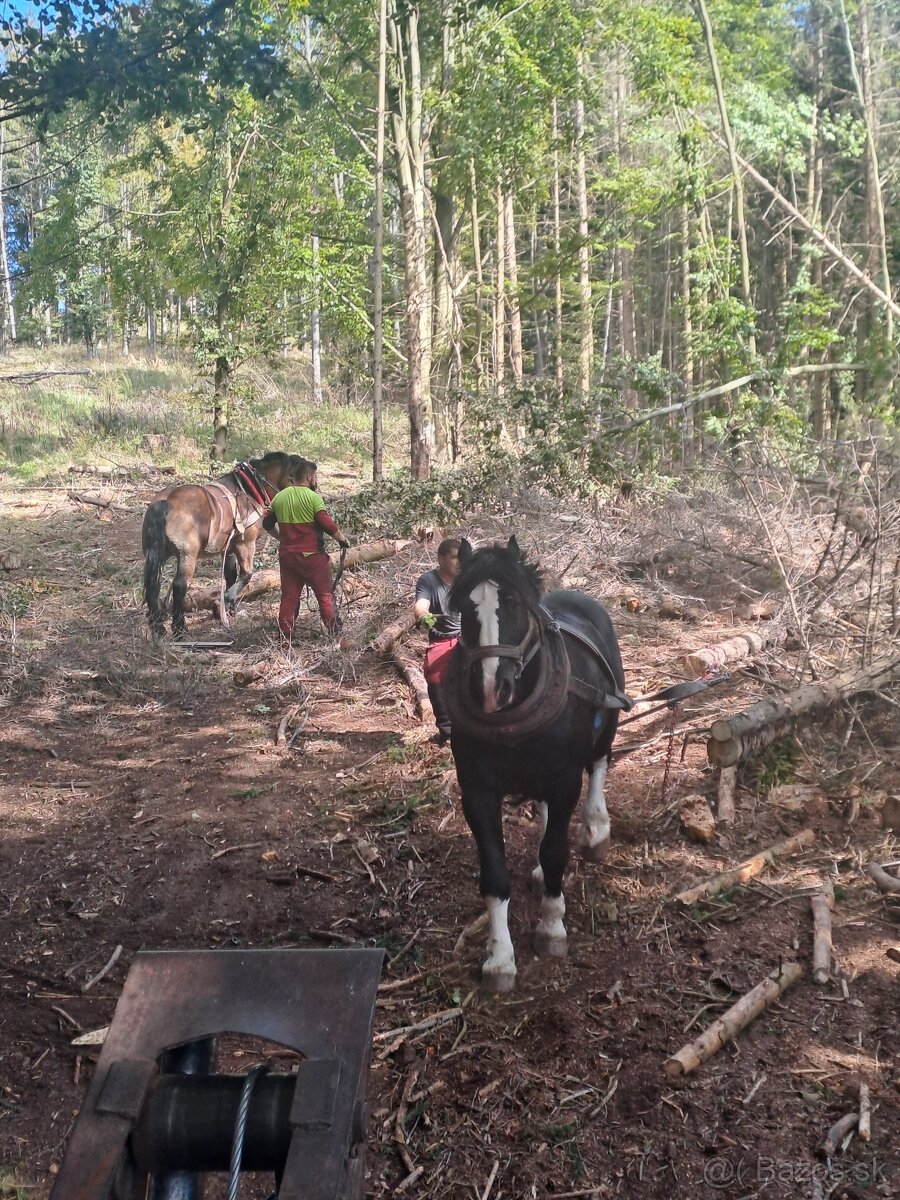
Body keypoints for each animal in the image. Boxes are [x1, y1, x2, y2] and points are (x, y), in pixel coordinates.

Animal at [139, 451, 297, 638]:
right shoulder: (245, 544)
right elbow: (246, 575)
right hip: (187, 556)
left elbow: (231, 576)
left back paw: (158, 626)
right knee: (179, 587)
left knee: (153, 586)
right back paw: (179, 628)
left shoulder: (227, 550)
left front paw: (231, 609)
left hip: (158, 555)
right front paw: (225, 604)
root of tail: (166, 502)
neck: (249, 489)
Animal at [448, 540, 628, 988]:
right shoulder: (477, 790)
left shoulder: (565, 781)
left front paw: (551, 927)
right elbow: (495, 873)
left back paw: (595, 830)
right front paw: (499, 959)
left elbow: (556, 853)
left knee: (599, 764)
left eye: (513, 602)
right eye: (464, 606)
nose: (492, 689)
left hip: (608, 721)